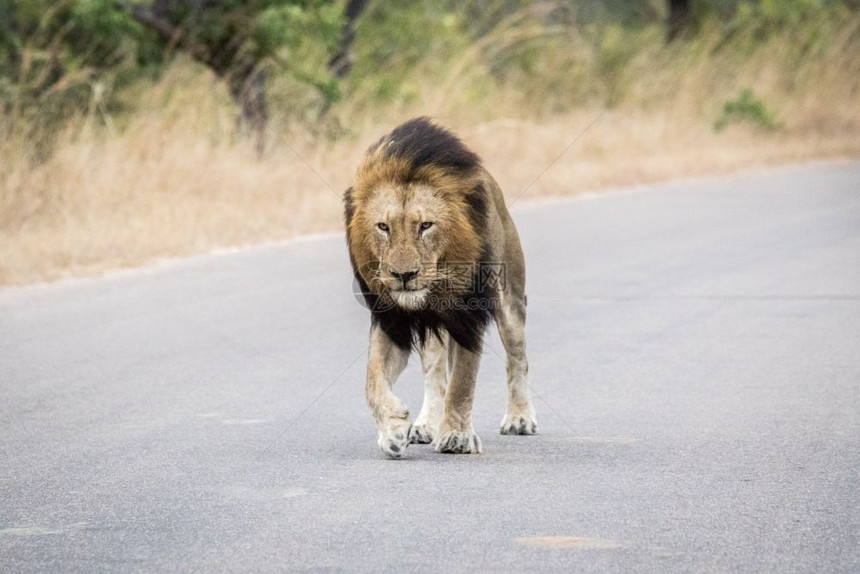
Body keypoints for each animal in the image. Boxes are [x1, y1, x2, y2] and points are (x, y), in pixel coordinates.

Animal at [344, 117, 536, 460]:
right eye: (383, 227)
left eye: (426, 226)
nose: (403, 274)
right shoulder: (393, 321)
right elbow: (372, 381)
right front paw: (393, 431)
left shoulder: (467, 318)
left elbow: (462, 382)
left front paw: (456, 436)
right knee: (434, 374)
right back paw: (426, 424)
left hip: (510, 301)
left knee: (517, 358)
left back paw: (519, 418)